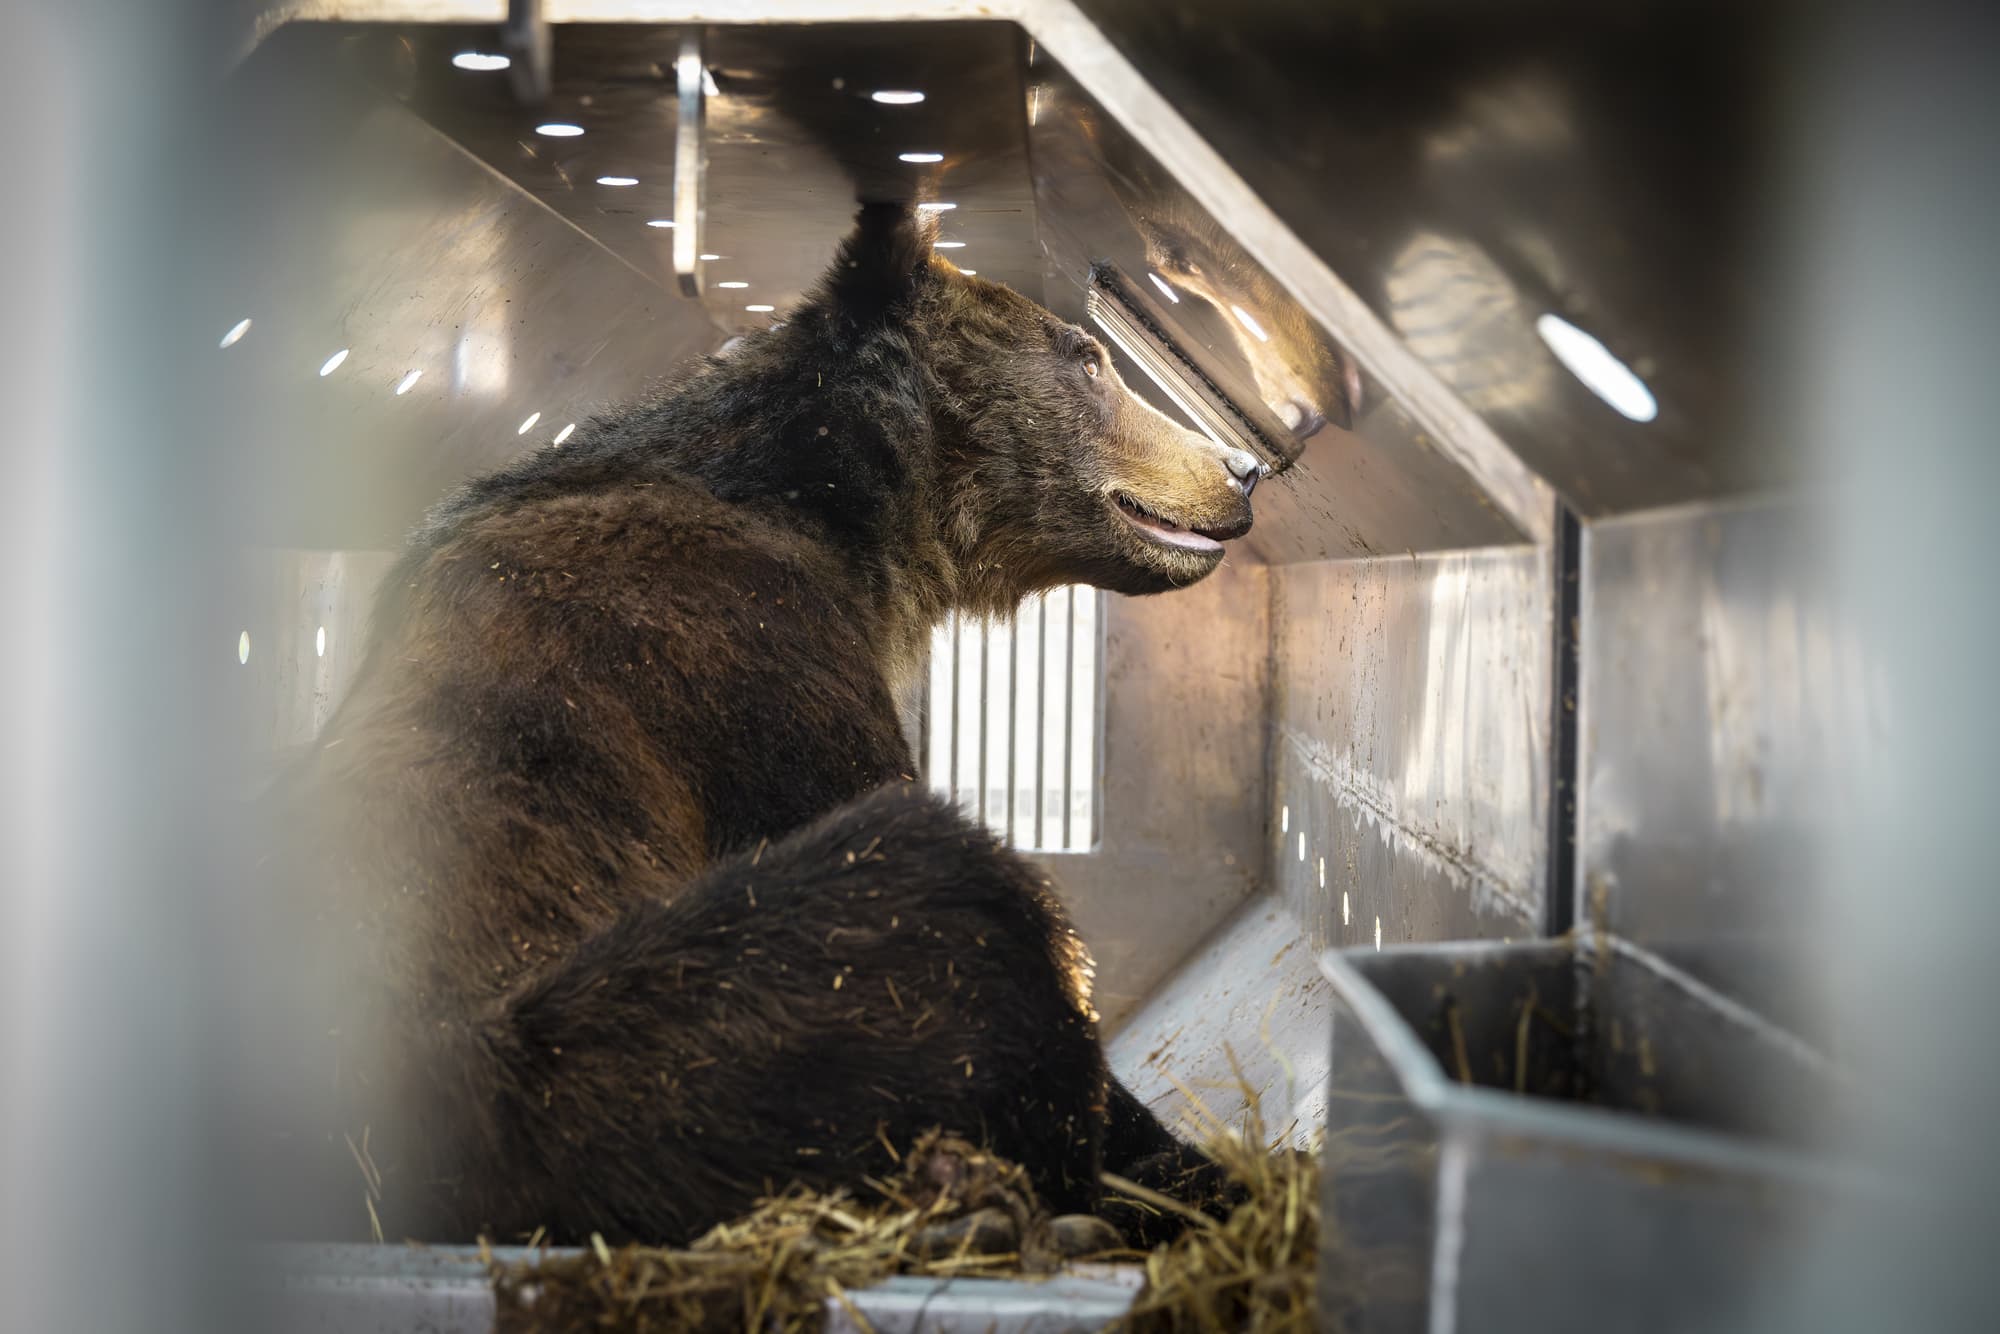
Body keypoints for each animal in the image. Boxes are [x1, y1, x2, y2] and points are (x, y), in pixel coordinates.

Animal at [250, 201, 1272, 1256]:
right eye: (1088, 357)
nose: (1243, 467)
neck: (851, 518)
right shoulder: (752, 660)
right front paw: (1195, 1168)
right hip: (591, 1062)